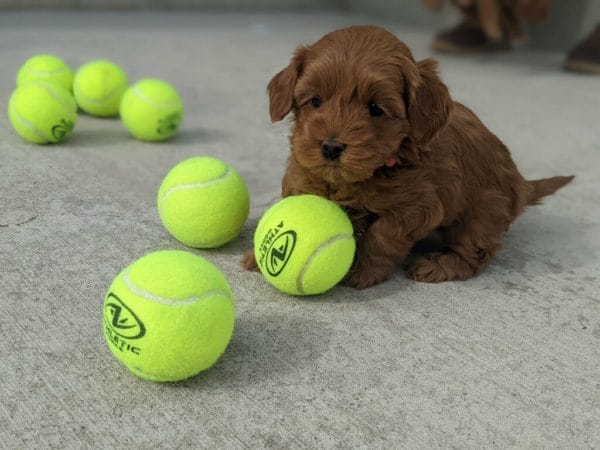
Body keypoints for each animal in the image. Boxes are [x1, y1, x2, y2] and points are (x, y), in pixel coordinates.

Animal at [243, 25, 572, 288]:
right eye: (315, 101)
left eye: (375, 108)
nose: (331, 147)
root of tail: (521, 184)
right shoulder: (302, 172)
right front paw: (256, 257)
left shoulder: (417, 206)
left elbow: (382, 235)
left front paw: (362, 271)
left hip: (483, 211)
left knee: (475, 251)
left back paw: (440, 265)